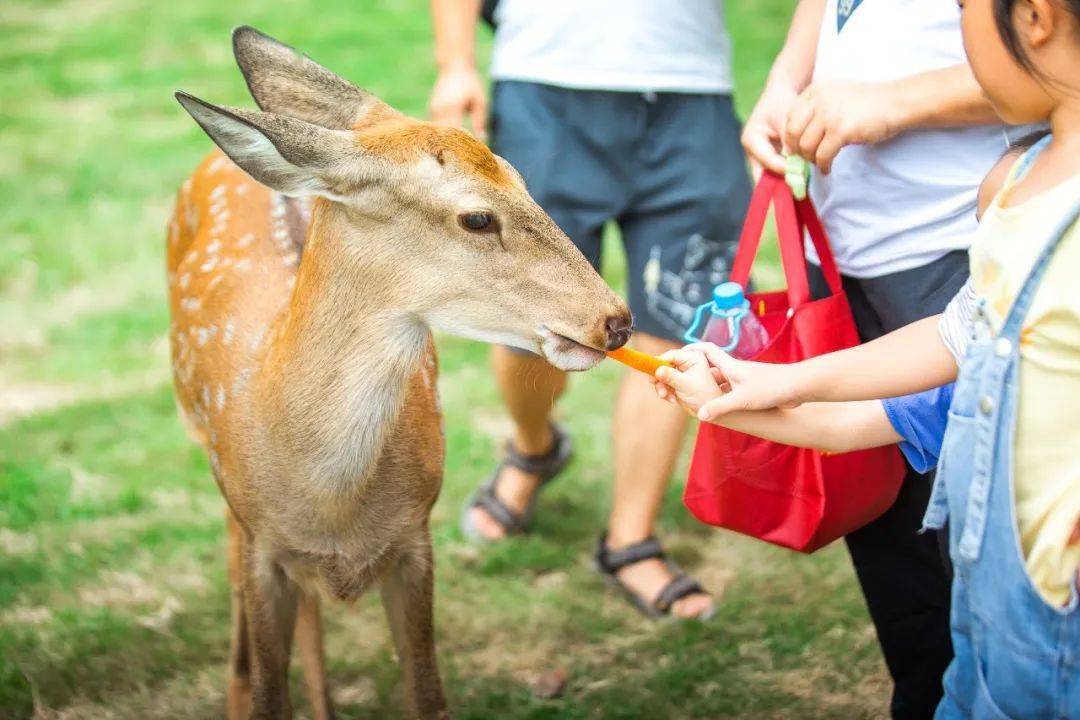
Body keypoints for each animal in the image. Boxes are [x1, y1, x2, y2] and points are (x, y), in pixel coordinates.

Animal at [163, 25, 630, 720]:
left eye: (523, 179)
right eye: (477, 217)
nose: (615, 320)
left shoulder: (416, 537)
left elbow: (427, 693)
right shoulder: (259, 542)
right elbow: (269, 690)